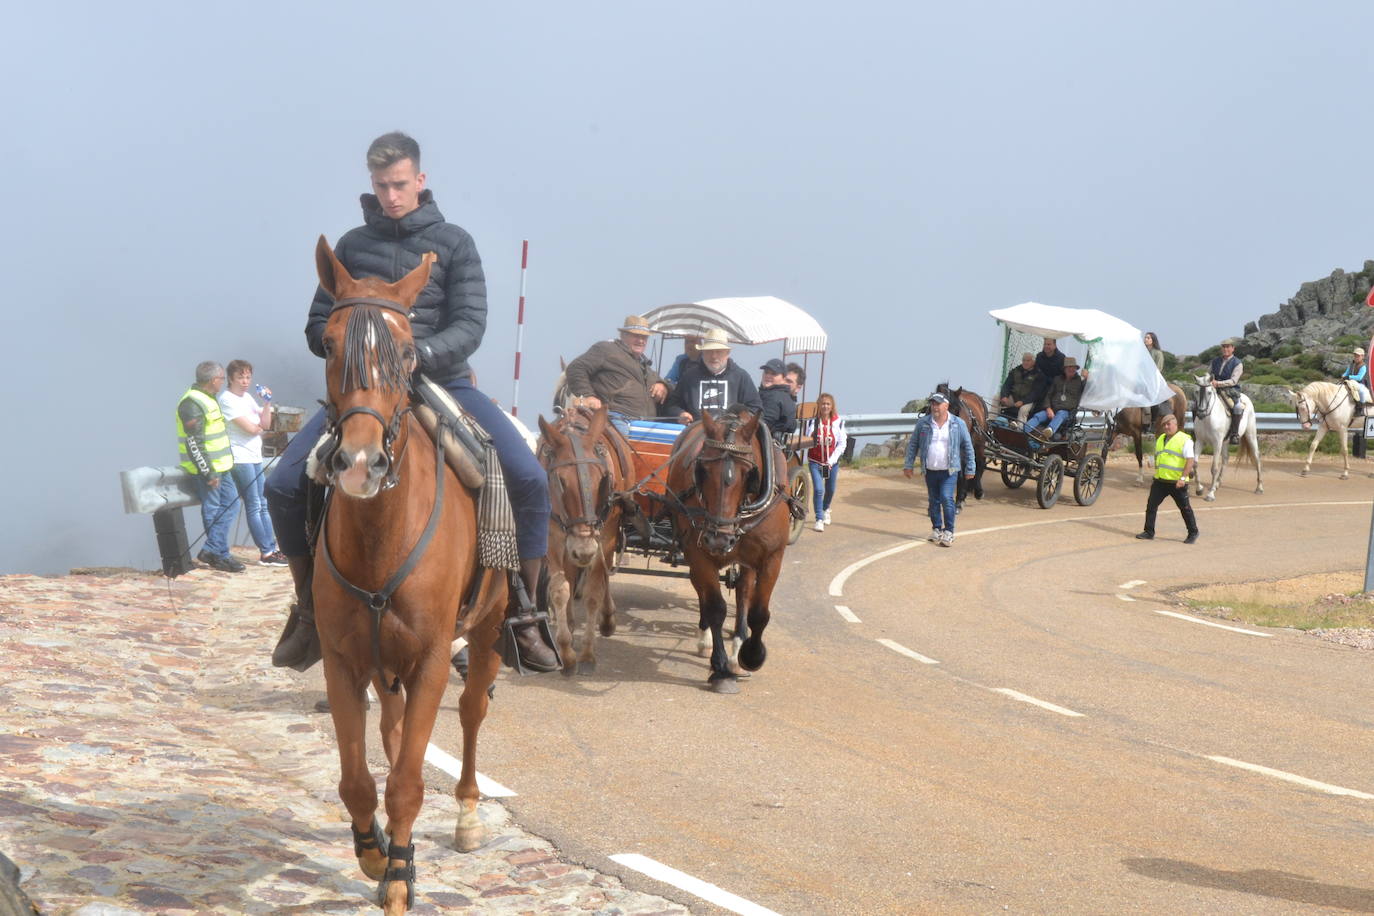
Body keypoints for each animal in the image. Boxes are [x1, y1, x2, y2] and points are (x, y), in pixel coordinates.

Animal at [311, 240, 511, 911]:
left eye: (405, 352)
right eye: (327, 343)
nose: (359, 463)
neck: (382, 534)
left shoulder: (429, 660)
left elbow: (406, 784)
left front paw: (398, 877)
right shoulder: (342, 660)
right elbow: (357, 780)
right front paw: (376, 854)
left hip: (488, 629)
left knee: (472, 710)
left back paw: (467, 815)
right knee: (394, 729)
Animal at [541, 406, 637, 672]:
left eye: (602, 480)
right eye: (561, 482)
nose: (584, 551)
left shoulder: (604, 537)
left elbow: (594, 592)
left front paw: (586, 654)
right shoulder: (554, 537)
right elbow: (560, 588)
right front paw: (566, 649)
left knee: (602, 577)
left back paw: (606, 619)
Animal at [662, 409, 791, 694]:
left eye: (749, 472)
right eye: (703, 469)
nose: (718, 539)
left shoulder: (771, 557)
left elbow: (758, 612)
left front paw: (751, 655)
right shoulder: (699, 553)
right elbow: (715, 607)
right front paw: (720, 669)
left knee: (743, 592)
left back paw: (738, 646)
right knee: (701, 591)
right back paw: (706, 639)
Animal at [1187, 373, 1258, 502]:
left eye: (1209, 392)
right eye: (1196, 391)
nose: (1200, 413)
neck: (1208, 418)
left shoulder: (1217, 443)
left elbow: (1214, 468)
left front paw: (1210, 494)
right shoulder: (1200, 441)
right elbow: (1195, 463)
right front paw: (1199, 489)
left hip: (1251, 436)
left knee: (1257, 458)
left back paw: (1259, 487)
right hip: (1225, 443)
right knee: (1225, 459)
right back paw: (1217, 484)